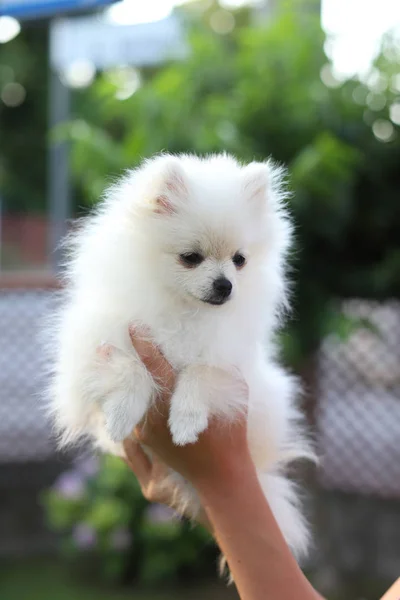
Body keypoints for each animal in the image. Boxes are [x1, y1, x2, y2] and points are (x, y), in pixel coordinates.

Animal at [47, 154, 314, 564]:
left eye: (239, 260)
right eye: (190, 258)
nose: (225, 285)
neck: (183, 310)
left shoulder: (231, 362)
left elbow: (202, 372)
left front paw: (186, 421)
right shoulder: (96, 341)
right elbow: (128, 367)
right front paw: (121, 414)